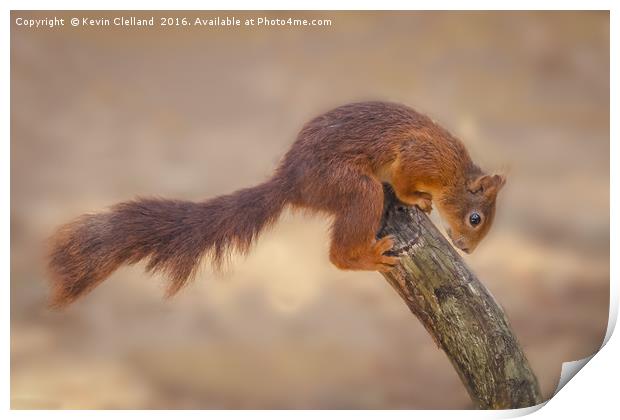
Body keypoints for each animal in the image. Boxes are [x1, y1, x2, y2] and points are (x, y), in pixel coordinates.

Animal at [47, 100, 504, 306]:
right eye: (475, 218)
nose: (466, 249)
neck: (454, 172)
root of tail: (291, 184)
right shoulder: (418, 157)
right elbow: (407, 184)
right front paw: (419, 199)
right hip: (353, 187)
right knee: (341, 250)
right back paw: (367, 256)